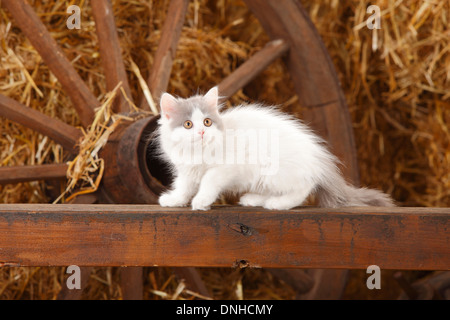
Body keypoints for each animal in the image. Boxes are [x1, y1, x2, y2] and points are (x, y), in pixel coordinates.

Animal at [156, 86, 394, 210]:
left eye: (207, 122)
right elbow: (183, 187)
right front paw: (174, 200)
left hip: (275, 173)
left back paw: (276, 204)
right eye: (188, 124)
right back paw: (254, 199)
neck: (198, 151)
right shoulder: (186, 171)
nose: (202, 133)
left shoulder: (225, 168)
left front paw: (201, 201)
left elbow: (208, 181)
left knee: (303, 189)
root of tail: (318, 161)